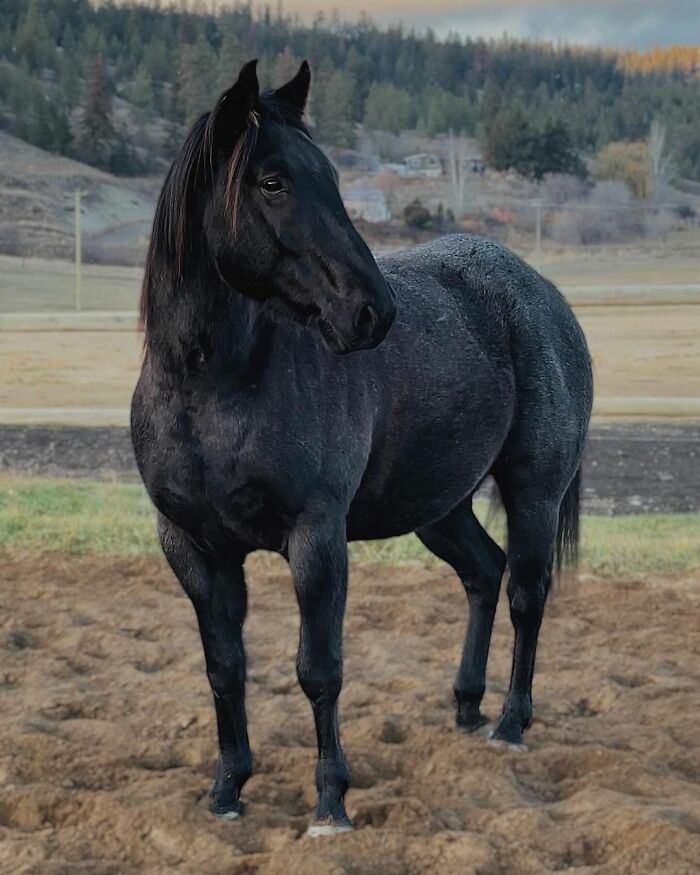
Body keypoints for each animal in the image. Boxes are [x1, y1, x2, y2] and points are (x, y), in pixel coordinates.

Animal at [131, 59, 593, 835]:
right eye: (273, 181)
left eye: (331, 178)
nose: (373, 311)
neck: (214, 387)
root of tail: (543, 294)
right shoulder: (193, 548)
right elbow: (225, 667)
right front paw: (227, 789)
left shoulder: (317, 538)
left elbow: (319, 668)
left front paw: (329, 804)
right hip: (440, 507)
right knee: (484, 573)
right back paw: (465, 706)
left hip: (534, 491)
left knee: (527, 594)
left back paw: (509, 724)